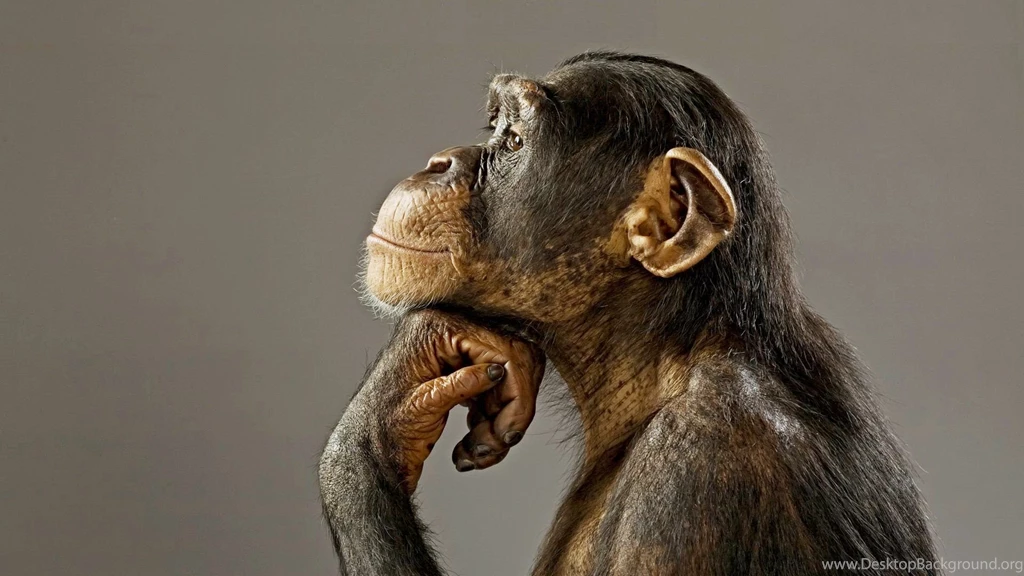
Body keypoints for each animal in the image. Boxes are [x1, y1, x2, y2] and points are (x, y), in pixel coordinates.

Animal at [318, 51, 938, 575]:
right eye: (493, 127)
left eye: (513, 139)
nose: (439, 161)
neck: (668, 358)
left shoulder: (697, 476)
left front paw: (384, 406)